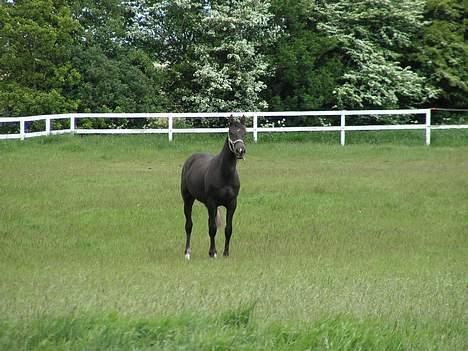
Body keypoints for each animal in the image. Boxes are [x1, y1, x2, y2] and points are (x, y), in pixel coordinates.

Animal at [181, 117, 247, 260]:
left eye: (245, 133)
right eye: (231, 132)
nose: (240, 151)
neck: (224, 174)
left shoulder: (232, 204)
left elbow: (228, 229)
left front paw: (225, 253)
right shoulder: (212, 203)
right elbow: (213, 228)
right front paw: (213, 252)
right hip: (188, 199)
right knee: (189, 225)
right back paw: (187, 252)